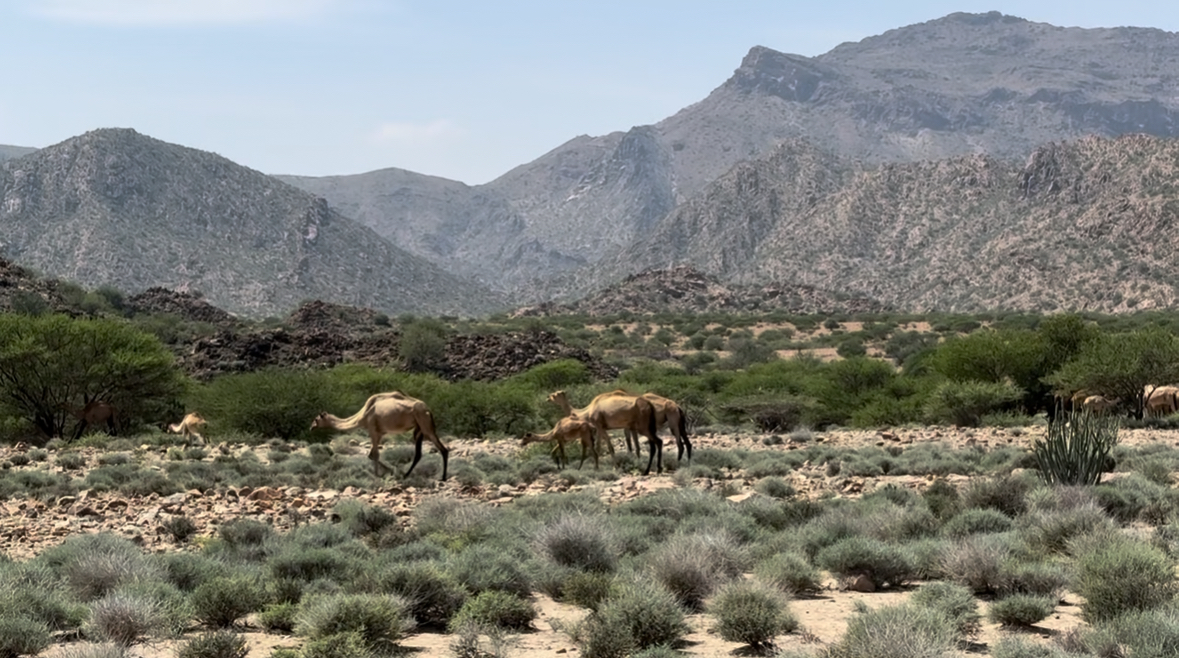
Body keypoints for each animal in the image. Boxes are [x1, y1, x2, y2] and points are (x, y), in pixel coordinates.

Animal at [310, 391, 449, 480]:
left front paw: (378, 475)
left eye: (316, 419)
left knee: (443, 449)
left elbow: (375, 455)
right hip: (419, 428)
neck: (362, 416)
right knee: (419, 454)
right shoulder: (380, 433)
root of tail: (428, 410)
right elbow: (371, 455)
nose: (311, 427)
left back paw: (442, 478)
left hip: (424, 423)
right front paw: (391, 471)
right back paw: (406, 475)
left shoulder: (373, 430)